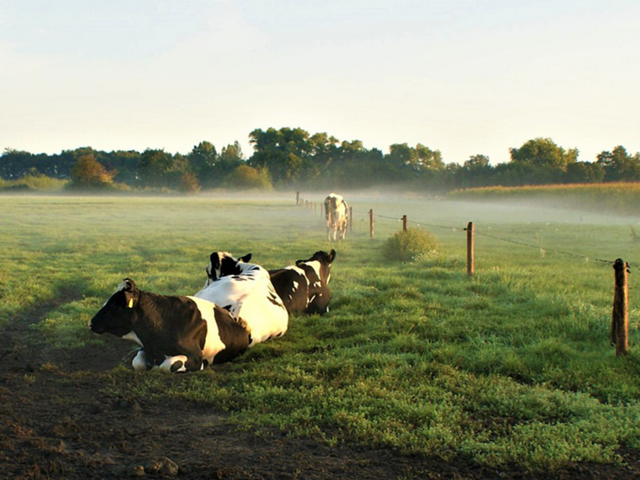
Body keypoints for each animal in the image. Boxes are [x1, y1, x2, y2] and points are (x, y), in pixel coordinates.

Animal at [89, 278, 249, 373]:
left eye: (114, 304)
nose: (91, 323)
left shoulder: (195, 357)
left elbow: (168, 365)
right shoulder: (146, 347)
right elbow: (138, 362)